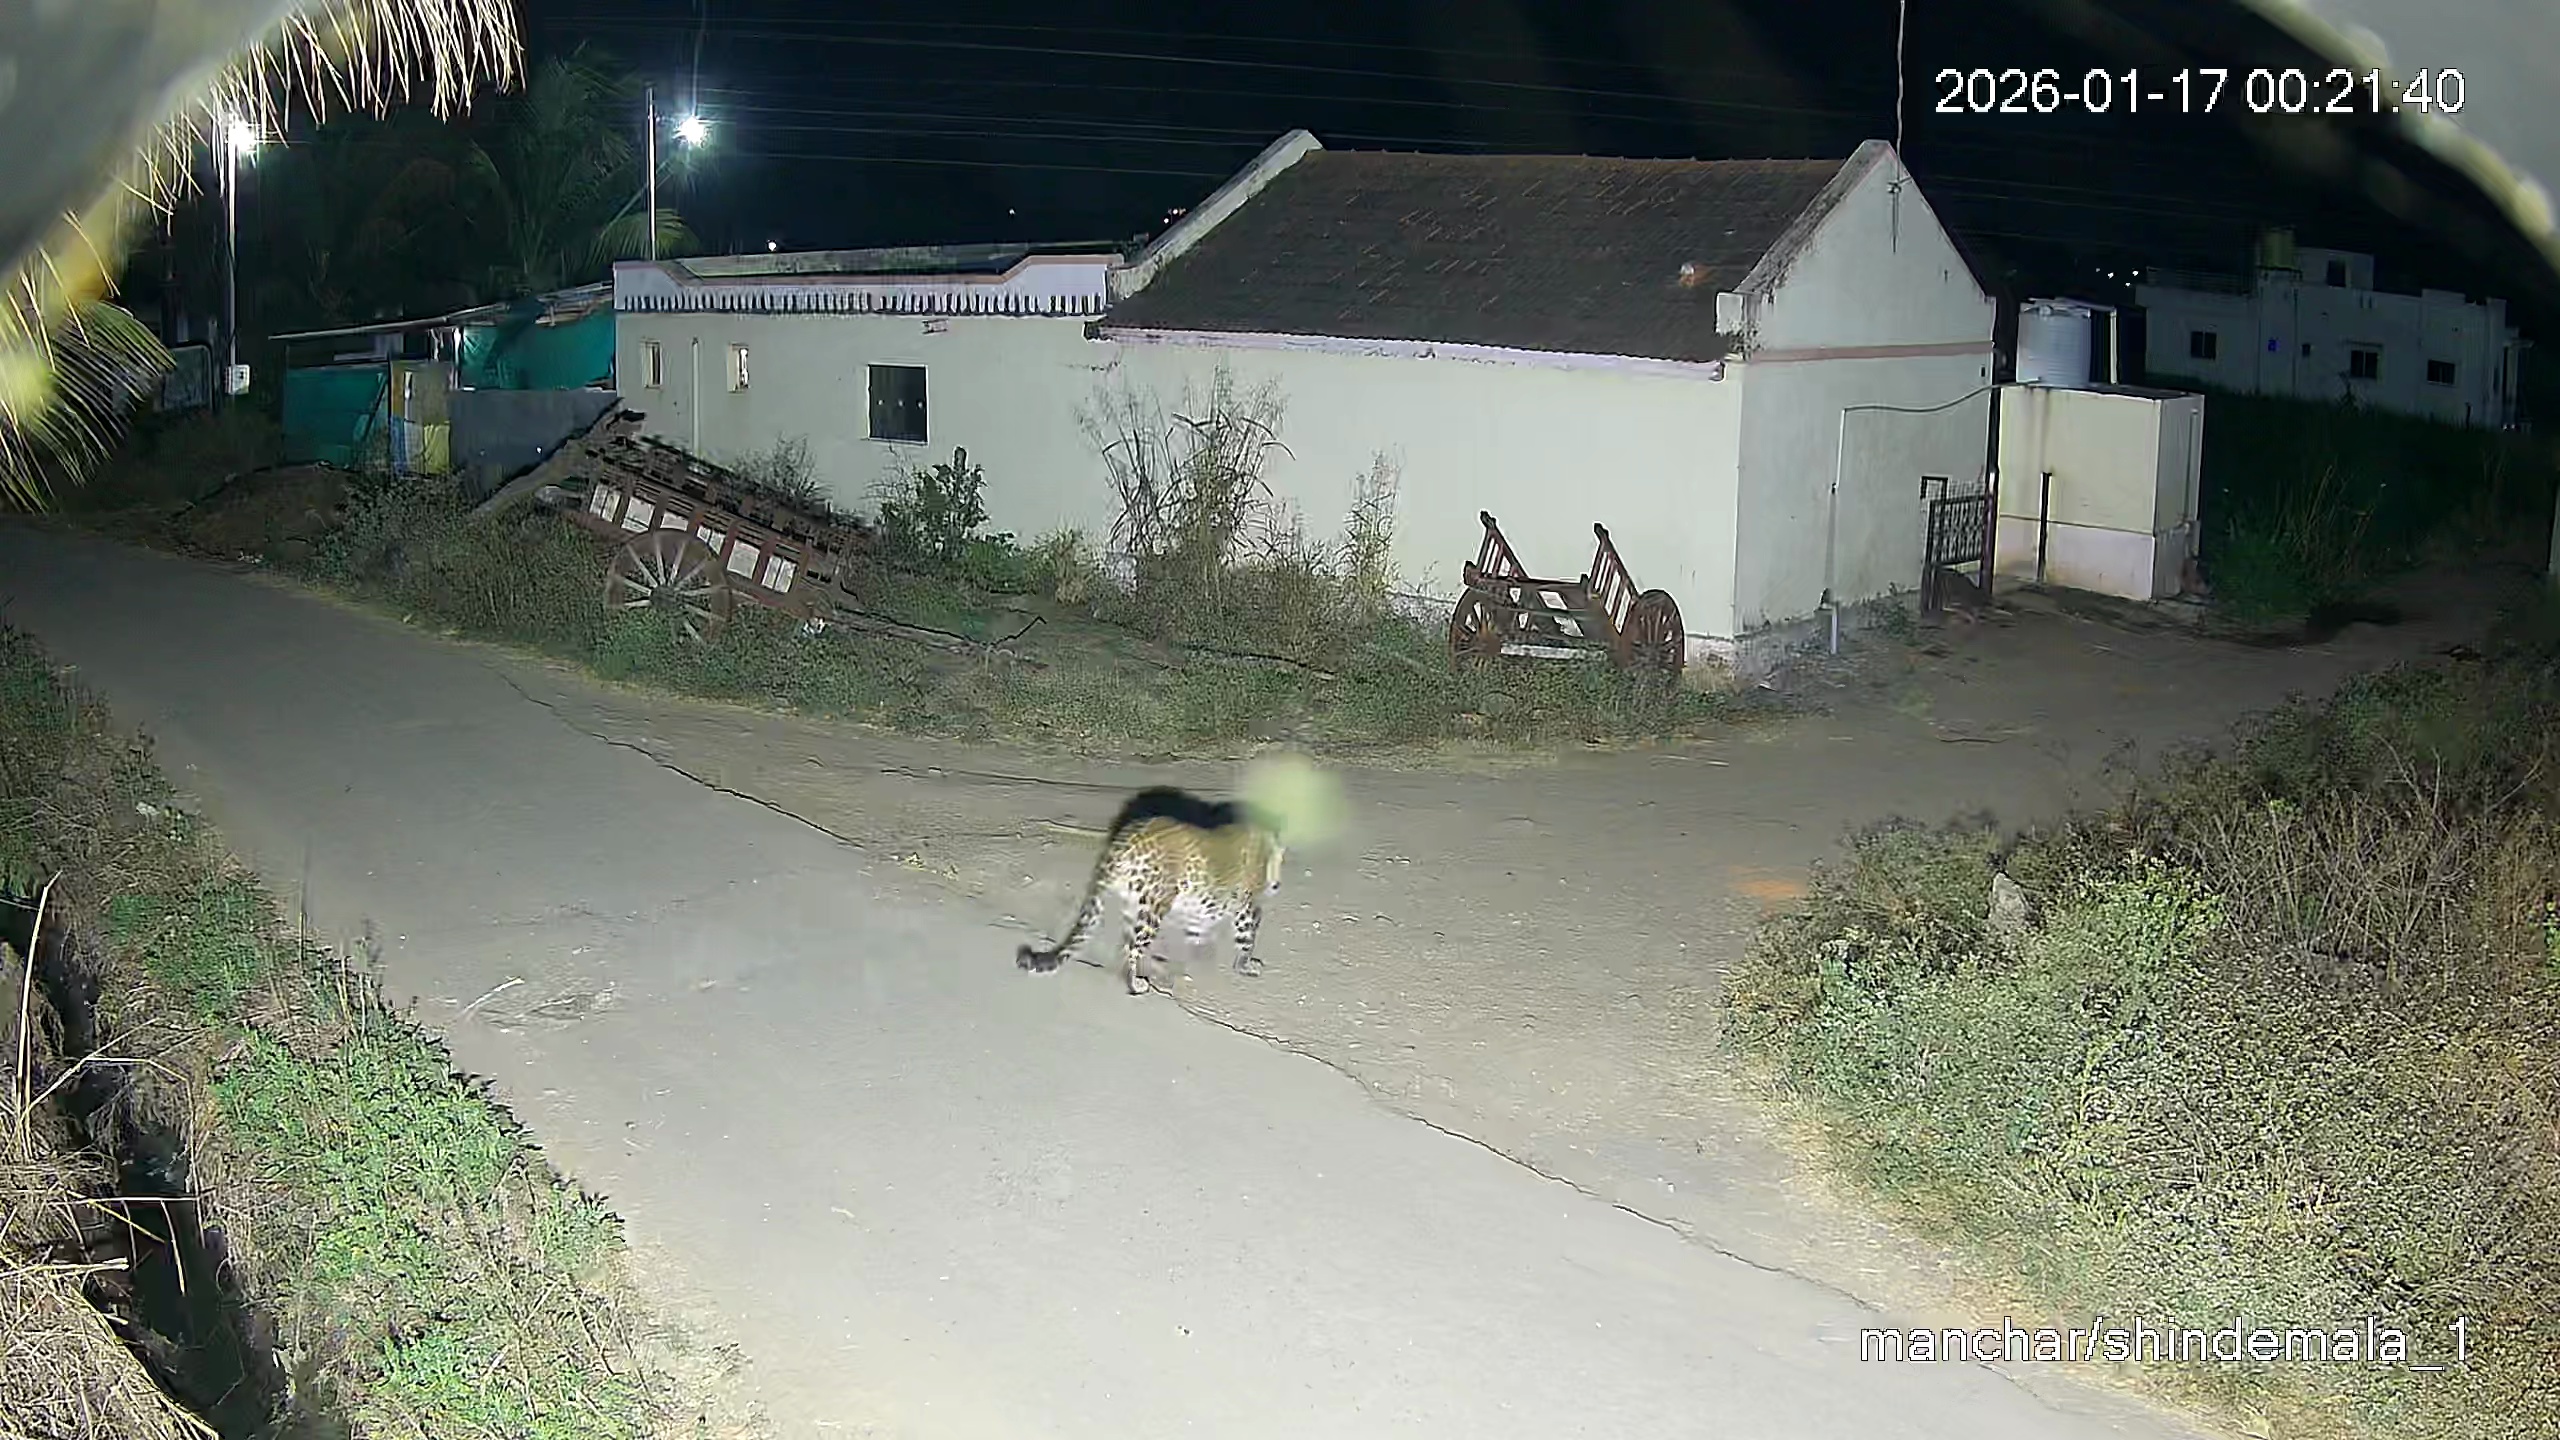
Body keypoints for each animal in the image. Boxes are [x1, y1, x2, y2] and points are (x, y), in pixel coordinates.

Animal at [1016, 785, 1285, 996]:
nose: (1276, 885)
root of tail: (1125, 838)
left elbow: (1197, 929)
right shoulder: (1248, 905)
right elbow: (1247, 937)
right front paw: (1246, 966)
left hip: (1133, 902)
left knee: (1126, 946)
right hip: (1153, 906)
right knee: (1134, 947)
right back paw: (1136, 985)